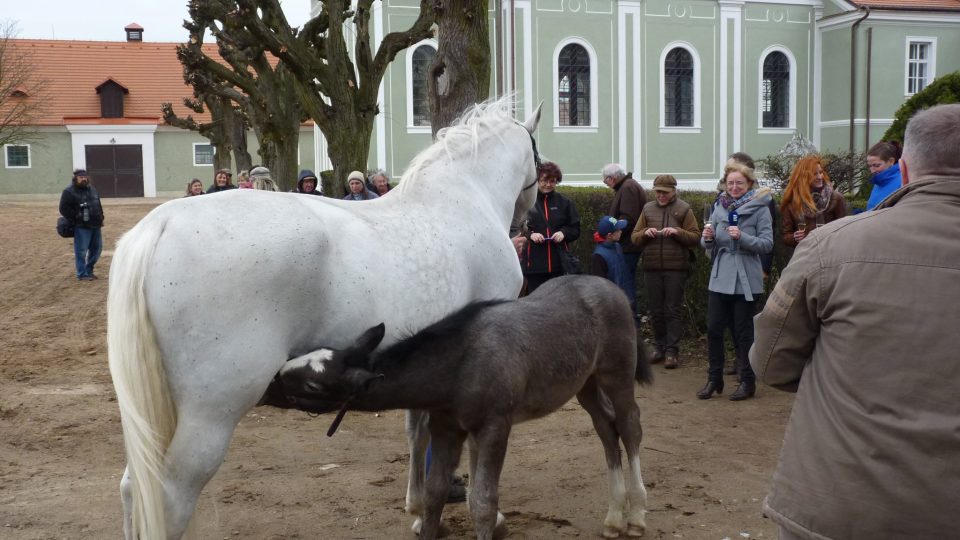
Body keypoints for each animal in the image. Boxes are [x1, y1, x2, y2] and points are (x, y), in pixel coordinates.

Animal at [109, 98, 544, 540]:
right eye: (538, 158)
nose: (526, 223)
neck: (458, 199)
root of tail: (160, 225)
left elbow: (418, 431)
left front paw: (420, 506)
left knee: (132, 489)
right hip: (210, 413)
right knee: (171, 497)